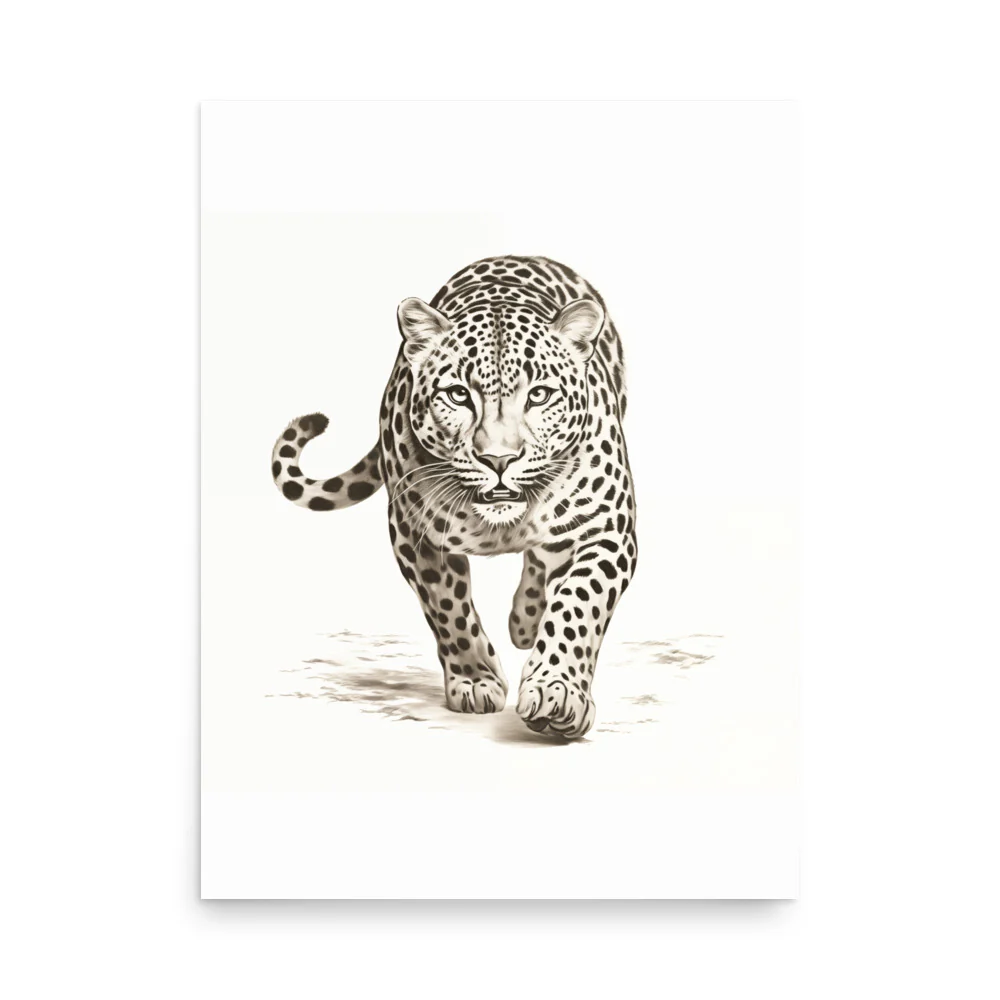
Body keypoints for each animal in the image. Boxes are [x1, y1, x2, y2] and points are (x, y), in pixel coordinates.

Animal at [271, 255, 637, 739]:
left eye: (539, 395)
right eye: (458, 395)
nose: (499, 459)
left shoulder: (606, 529)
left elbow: (578, 605)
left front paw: (556, 692)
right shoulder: (415, 535)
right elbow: (448, 609)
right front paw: (477, 681)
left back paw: (526, 622)